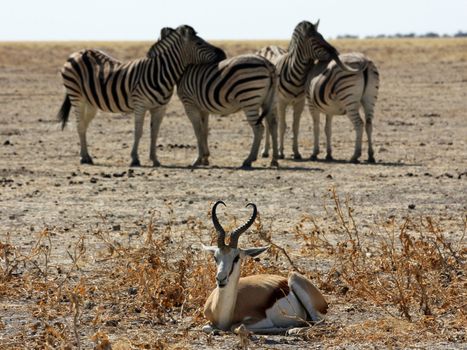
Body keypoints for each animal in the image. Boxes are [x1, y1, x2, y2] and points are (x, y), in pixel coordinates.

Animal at [57, 24, 227, 167]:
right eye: (199, 43)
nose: (224, 54)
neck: (160, 73)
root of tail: (79, 52)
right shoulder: (140, 105)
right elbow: (138, 132)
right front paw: (135, 159)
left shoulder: (160, 108)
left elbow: (154, 133)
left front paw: (155, 160)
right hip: (76, 96)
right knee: (79, 125)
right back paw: (84, 158)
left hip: (91, 102)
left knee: (84, 125)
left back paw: (87, 156)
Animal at [202, 200, 330, 334]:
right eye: (215, 257)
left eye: (236, 257)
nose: (221, 279)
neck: (223, 314)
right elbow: (206, 327)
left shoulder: (262, 320)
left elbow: (235, 327)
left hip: (295, 280)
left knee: (319, 322)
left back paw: (293, 329)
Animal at [258, 20, 356, 160]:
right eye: (314, 40)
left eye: (322, 36)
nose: (335, 51)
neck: (297, 75)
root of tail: (269, 46)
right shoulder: (282, 102)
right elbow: (283, 126)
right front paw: (281, 152)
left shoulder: (300, 102)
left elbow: (295, 127)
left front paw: (296, 152)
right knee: (267, 122)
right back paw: (265, 151)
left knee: (271, 122)